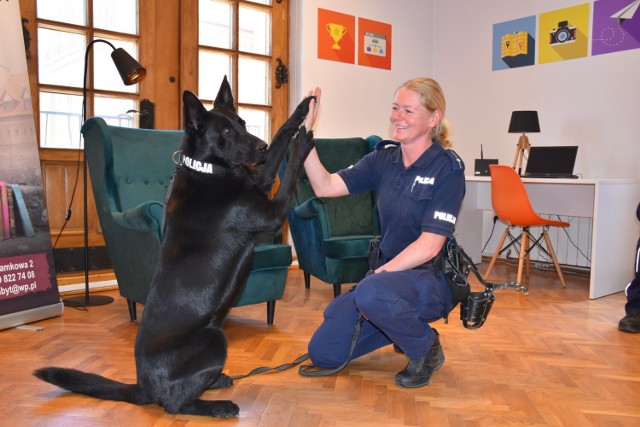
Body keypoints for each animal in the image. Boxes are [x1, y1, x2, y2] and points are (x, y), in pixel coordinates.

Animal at [34, 77, 316, 418]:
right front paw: (303, 143)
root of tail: (143, 385)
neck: (208, 168)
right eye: (225, 132)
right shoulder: (272, 214)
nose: (259, 147)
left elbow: (280, 139)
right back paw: (218, 405)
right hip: (213, 337)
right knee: (175, 404)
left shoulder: (260, 179)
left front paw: (300, 112)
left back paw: (218, 381)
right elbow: (288, 175)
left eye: (242, 123)